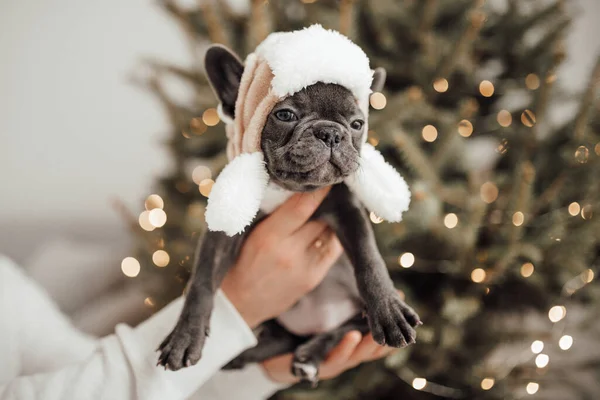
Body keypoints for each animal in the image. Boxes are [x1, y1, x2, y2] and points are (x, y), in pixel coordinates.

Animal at [159, 45, 422, 382]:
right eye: (285, 115)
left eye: (357, 124)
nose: (330, 133)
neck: (288, 189)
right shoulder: (223, 229)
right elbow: (201, 282)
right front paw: (184, 337)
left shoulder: (348, 211)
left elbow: (369, 259)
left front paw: (388, 310)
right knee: (285, 338)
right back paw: (247, 354)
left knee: (349, 326)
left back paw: (312, 353)